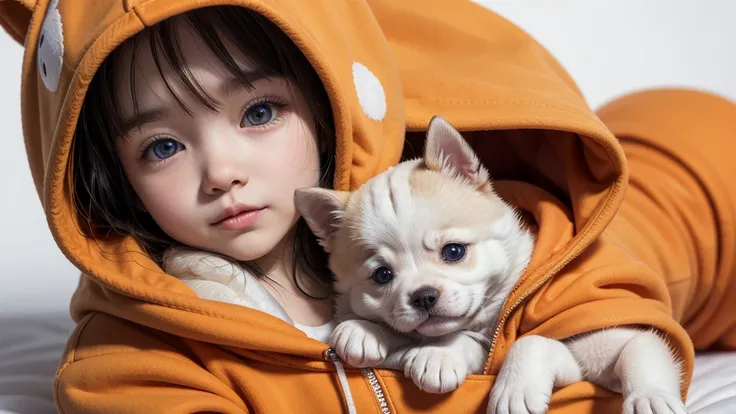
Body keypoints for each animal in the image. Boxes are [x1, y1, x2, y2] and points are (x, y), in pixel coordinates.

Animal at [296, 116, 688, 414]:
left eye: (454, 252)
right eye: (382, 275)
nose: (423, 296)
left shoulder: (612, 338)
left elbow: (535, 341)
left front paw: (651, 399)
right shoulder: (566, 363)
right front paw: (364, 329)